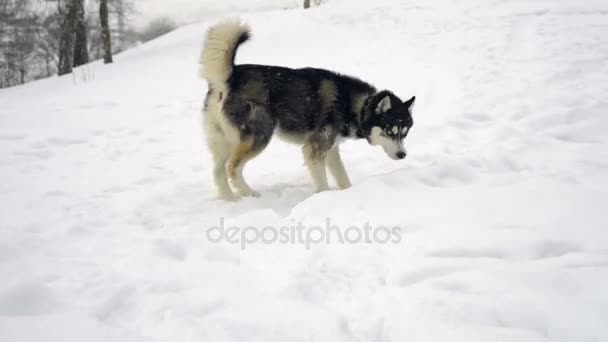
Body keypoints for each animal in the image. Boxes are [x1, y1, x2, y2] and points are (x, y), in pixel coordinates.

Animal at [202, 20, 416, 199]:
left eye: (404, 133)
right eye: (390, 132)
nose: (402, 155)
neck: (354, 104)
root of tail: (230, 78)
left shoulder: (331, 149)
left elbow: (343, 177)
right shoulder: (314, 149)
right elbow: (322, 183)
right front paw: (323, 198)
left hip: (225, 141)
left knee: (218, 171)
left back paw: (230, 199)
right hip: (259, 136)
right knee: (232, 168)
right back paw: (249, 194)